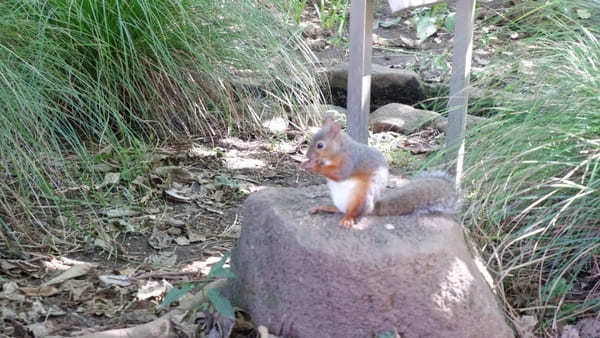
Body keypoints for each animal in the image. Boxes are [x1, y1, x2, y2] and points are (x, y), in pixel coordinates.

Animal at [300, 115, 460, 228]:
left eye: (320, 145)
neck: (340, 150)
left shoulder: (350, 161)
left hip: (360, 197)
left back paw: (348, 220)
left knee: (354, 212)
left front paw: (313, 166)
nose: (307, 155)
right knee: (340, 209)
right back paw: (324, 207)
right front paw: (307, 163)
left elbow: (340, 173)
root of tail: (372, 208)